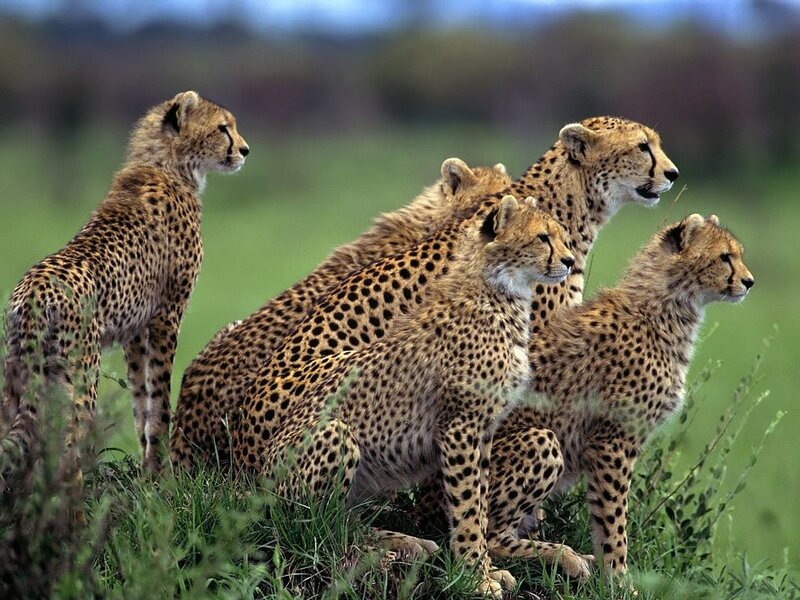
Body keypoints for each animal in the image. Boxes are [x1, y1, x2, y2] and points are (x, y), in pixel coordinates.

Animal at [0, 91, 248, 478]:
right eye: (223, 128)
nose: (245, 149)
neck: (167, 165)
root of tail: (34, 291)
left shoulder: (135, 329)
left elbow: (140, 400)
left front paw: (148, 468)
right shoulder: (167, 315)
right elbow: (159, 398)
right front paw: (161, 474)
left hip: (18, 374)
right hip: (78, 375)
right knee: (68, 444)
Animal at [232, 196, 576, 598]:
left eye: (561, 235)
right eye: (542, 237)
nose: (569, 260)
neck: (499, 291)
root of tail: (255, 481)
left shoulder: (483, 431)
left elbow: (479, 502)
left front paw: (486, 569)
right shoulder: (460, 427)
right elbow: (467, 508)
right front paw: (476, 577)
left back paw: (407, 541)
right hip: (334, 435)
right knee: (315, 525)